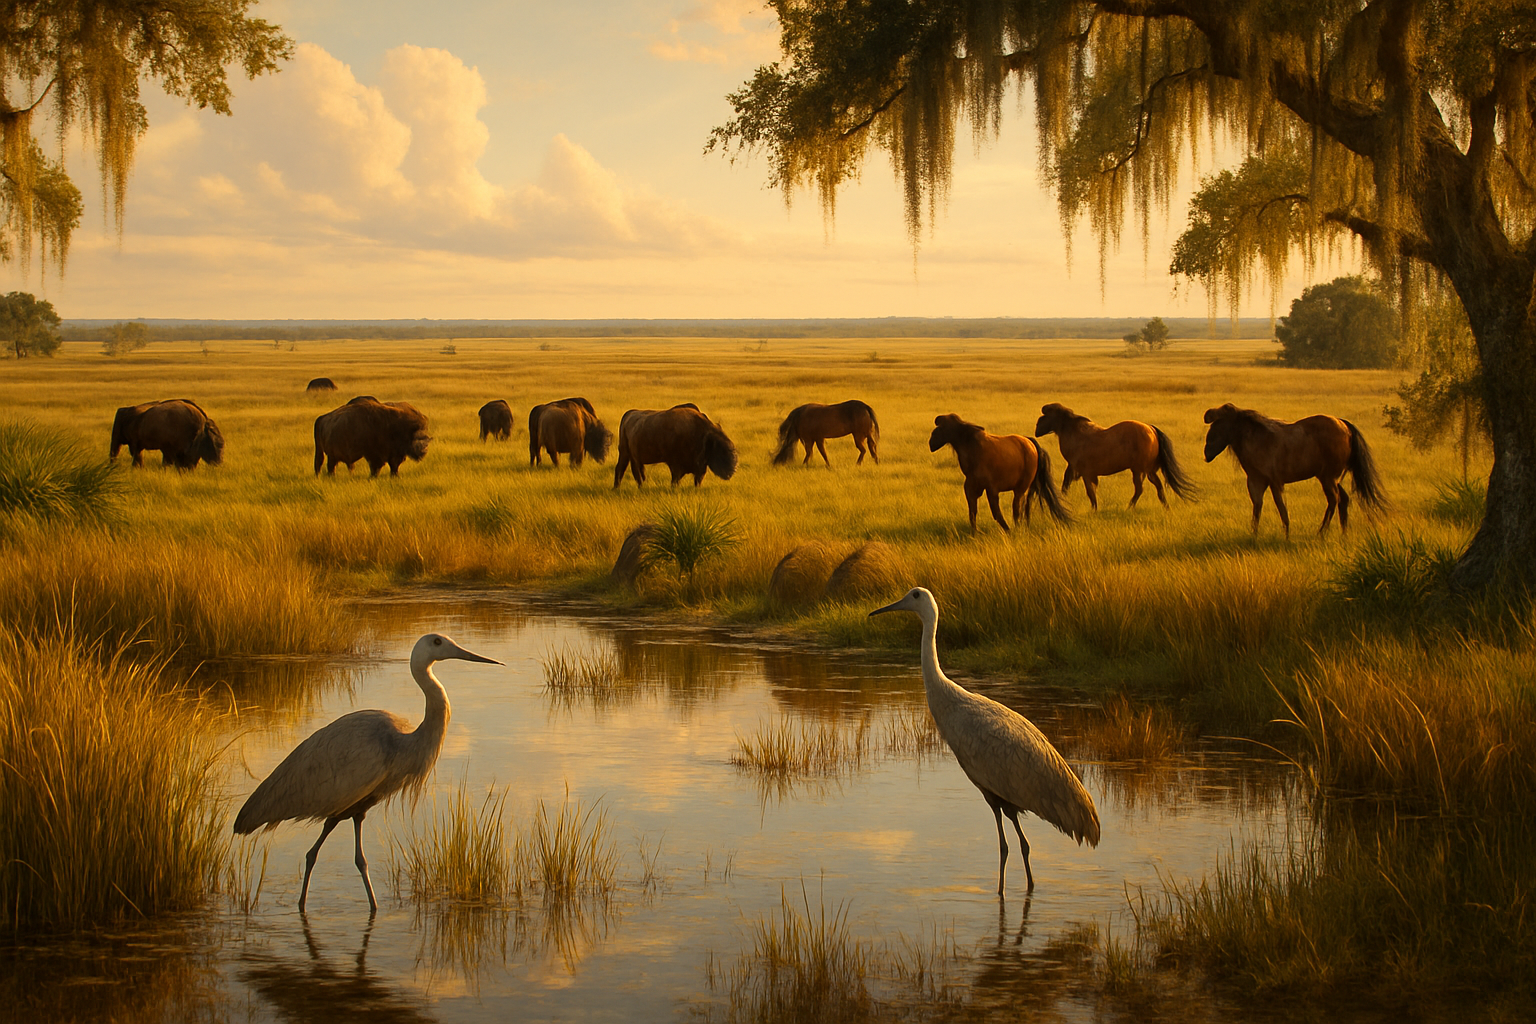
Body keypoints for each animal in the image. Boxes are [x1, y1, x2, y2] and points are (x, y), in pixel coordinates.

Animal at [929, 413, 1070, 534]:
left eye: (941, 427)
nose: (931, 442)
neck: (973, 449)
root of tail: (1030, 443)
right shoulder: (972, 488)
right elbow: (973, 512)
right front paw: (975, 532)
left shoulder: (991, 489)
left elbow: (996, 512)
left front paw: (1007, 530)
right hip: (1029, 487)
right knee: (1026, 506)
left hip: (1021, 488)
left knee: (1018, 508)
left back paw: (1018, 527)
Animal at [1034, 403, 1197, 510]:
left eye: (1046, 415)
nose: (1036, 430)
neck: (1076, 435)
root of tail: (1151, 429)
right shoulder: (1077, 470)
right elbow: (1067, 485)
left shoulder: (1085, 473)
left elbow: (1090, 493)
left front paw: (1094, 510)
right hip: (1149, 471)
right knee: (1158, 487)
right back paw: (1166, 507)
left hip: (1138, 470)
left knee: (1139, 489)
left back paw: (1129, 507)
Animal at [1202, 403, 1387, 536]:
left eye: (1219, 424)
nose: (1207, 452)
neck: (1258, 440)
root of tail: (1344, 425)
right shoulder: (1256, 481)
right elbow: (1257, 508)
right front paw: (1253, 536)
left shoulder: (1275, 482)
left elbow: (1282, 510)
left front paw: (1287, 536)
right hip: (1333, 478)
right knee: (1344, 499)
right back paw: (1343, 533)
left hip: (1327, 478)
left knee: (1334, 500)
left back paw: (1322, 532)